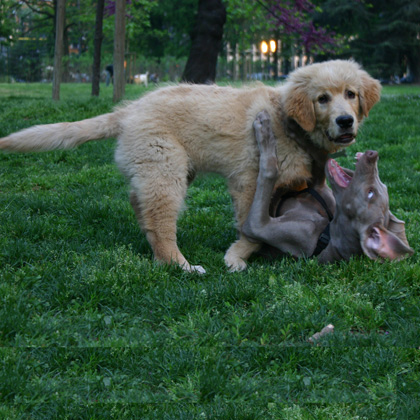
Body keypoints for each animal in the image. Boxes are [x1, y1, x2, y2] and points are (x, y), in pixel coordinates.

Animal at [0, 60, 380, 274]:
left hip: (163, 168)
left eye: (350, 94)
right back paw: (179, 265)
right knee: (160, 223)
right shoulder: (247, 180)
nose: (345, 121)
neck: (288, 120)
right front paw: (238, 256)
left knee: (140, 205)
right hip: (166, 169)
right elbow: (250, 227)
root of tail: (129, 111)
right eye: (322, 99)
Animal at [243, 111, 414, 262]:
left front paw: (264, 126)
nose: (373, 154)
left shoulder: (260, 225)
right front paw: (295, 125)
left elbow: (270, 170)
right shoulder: (318, 185)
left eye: (370, 193)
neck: (326, 232)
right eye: (383, 186)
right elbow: (318, 153)